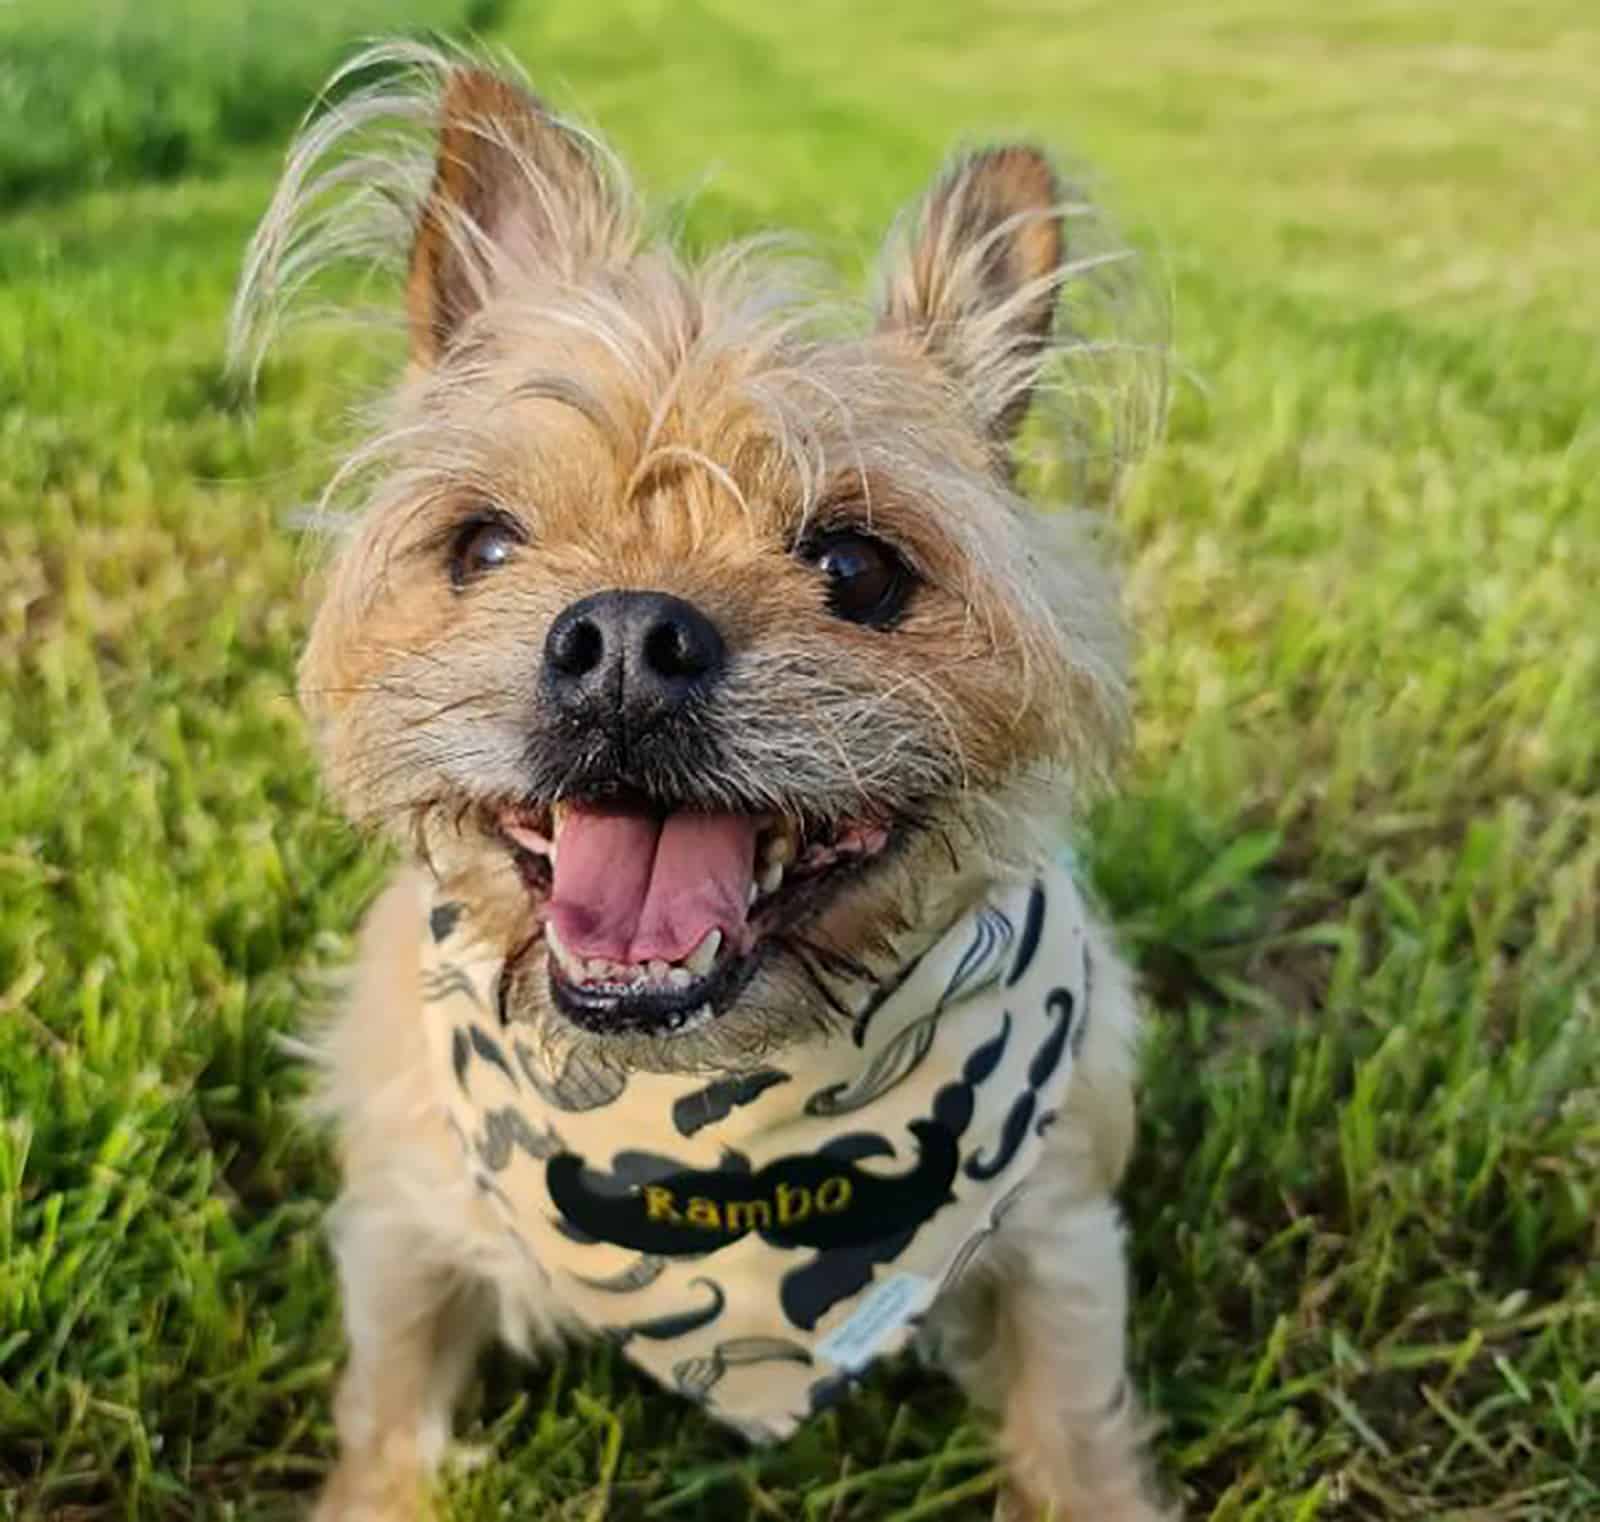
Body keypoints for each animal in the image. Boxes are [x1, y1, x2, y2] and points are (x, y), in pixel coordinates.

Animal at [233, 44, 1164, 1522]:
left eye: (857, 567)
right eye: (485, 547)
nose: (624, 641)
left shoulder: (1063, 1237)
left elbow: (1073, 1435)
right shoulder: (405, 1230)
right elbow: (387, 1417)